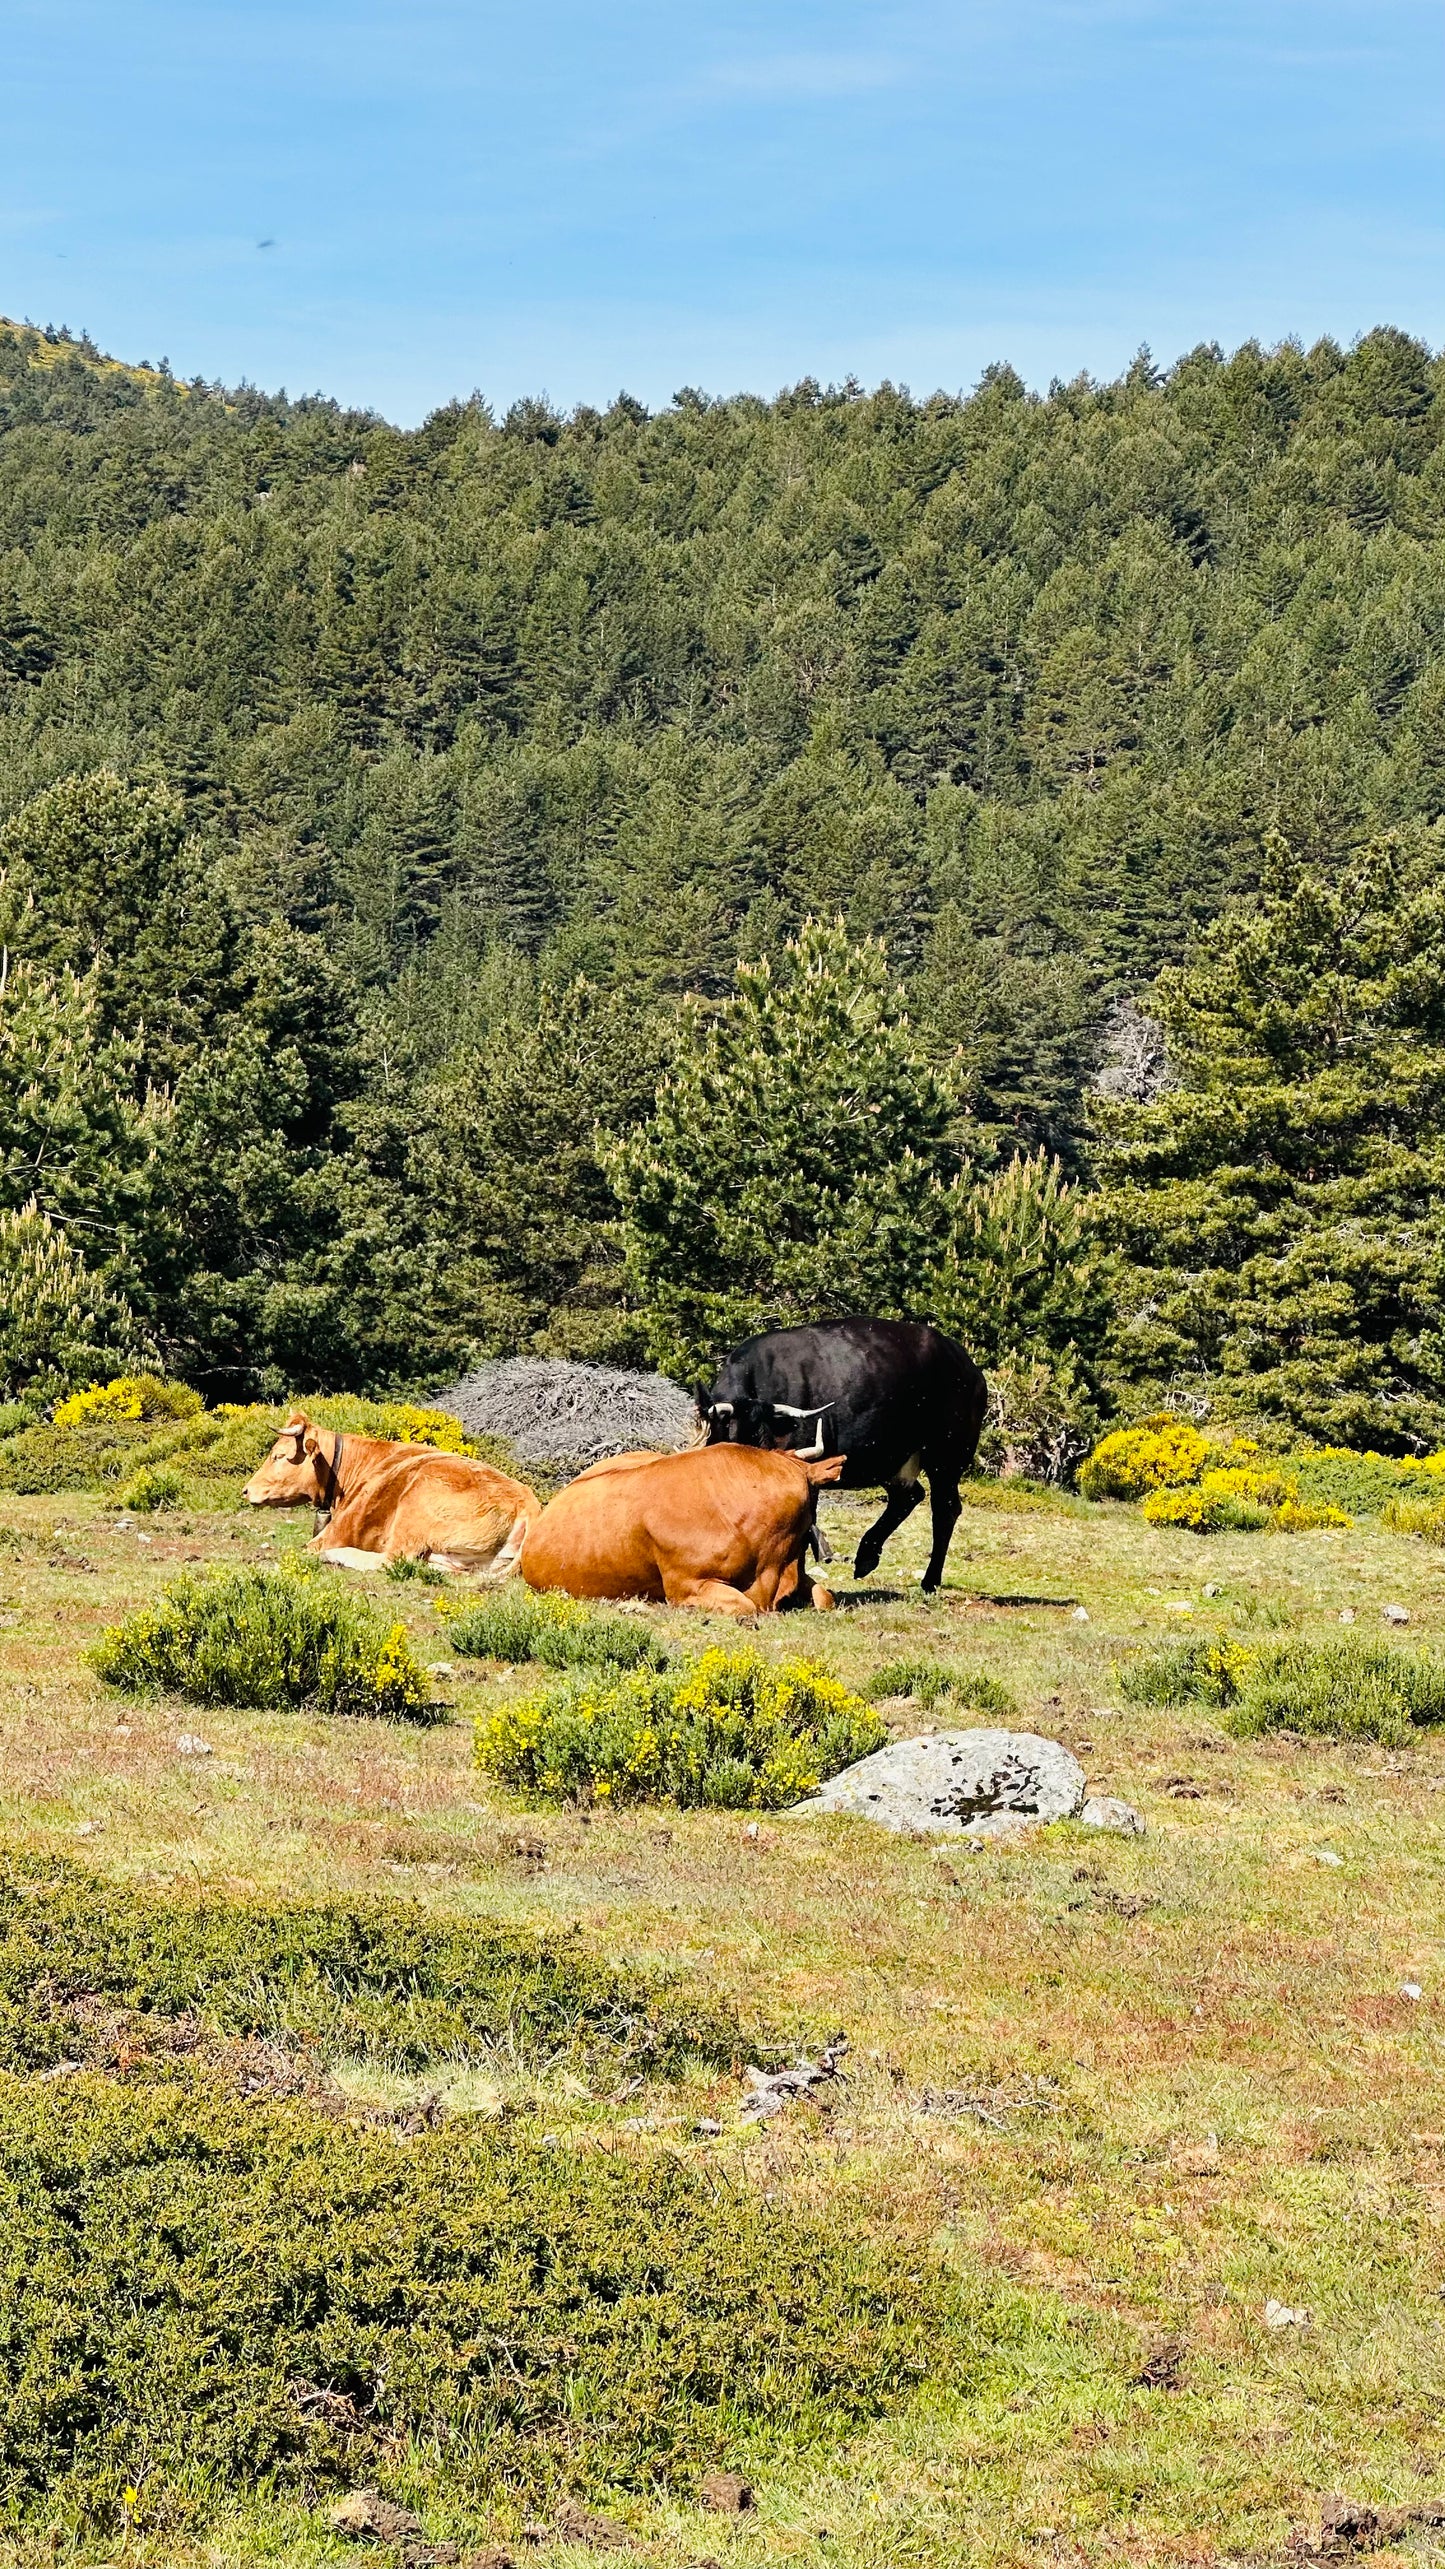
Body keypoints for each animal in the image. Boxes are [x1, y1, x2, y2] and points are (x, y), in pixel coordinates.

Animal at [241, 1418, 539, 1572]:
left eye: (279, 1455)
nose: (246, 1490)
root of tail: (526, 1500)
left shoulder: (335, 1532)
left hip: (416, 1503)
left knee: (391, 1559)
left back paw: (333, 1555)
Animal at [694, 1325, 982, 1582]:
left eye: (765, 1439)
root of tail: (968, 1366)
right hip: (891, 1461)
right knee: (908, 1496)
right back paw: (866, 1557)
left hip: (947, 1457)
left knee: (944, 1509)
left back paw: (930, 1580)